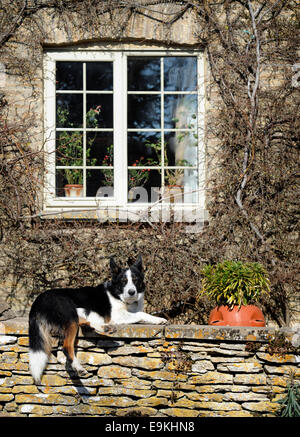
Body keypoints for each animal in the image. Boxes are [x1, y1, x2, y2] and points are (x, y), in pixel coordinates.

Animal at [29, 254, 168, 384]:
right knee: (67, 346)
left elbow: (140, 312)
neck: (119, 295)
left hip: (78, 312)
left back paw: (105, 328)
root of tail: (37, 302)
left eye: (135, 280)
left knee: (85, 323)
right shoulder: (116, 316)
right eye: (123, 281)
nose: (131, 292)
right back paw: (78, 367)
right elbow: (141, 314)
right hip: (69, 311)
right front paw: (157, 319)